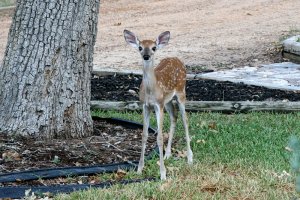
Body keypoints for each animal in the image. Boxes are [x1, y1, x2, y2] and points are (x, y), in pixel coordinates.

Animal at [123, 30, 192, 181]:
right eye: (140, 47)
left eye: (154, 48)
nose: (146, 56)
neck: (151, 91)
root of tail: (177, 59)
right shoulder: (145, 105)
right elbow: (144, 135)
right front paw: (139, 169)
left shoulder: (158, 105)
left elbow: (159, 138)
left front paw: (163, 174)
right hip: (168, 101)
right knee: (174, 117)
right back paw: (167, 155)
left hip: (181, 92)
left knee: (185, 120)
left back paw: (190, 158)